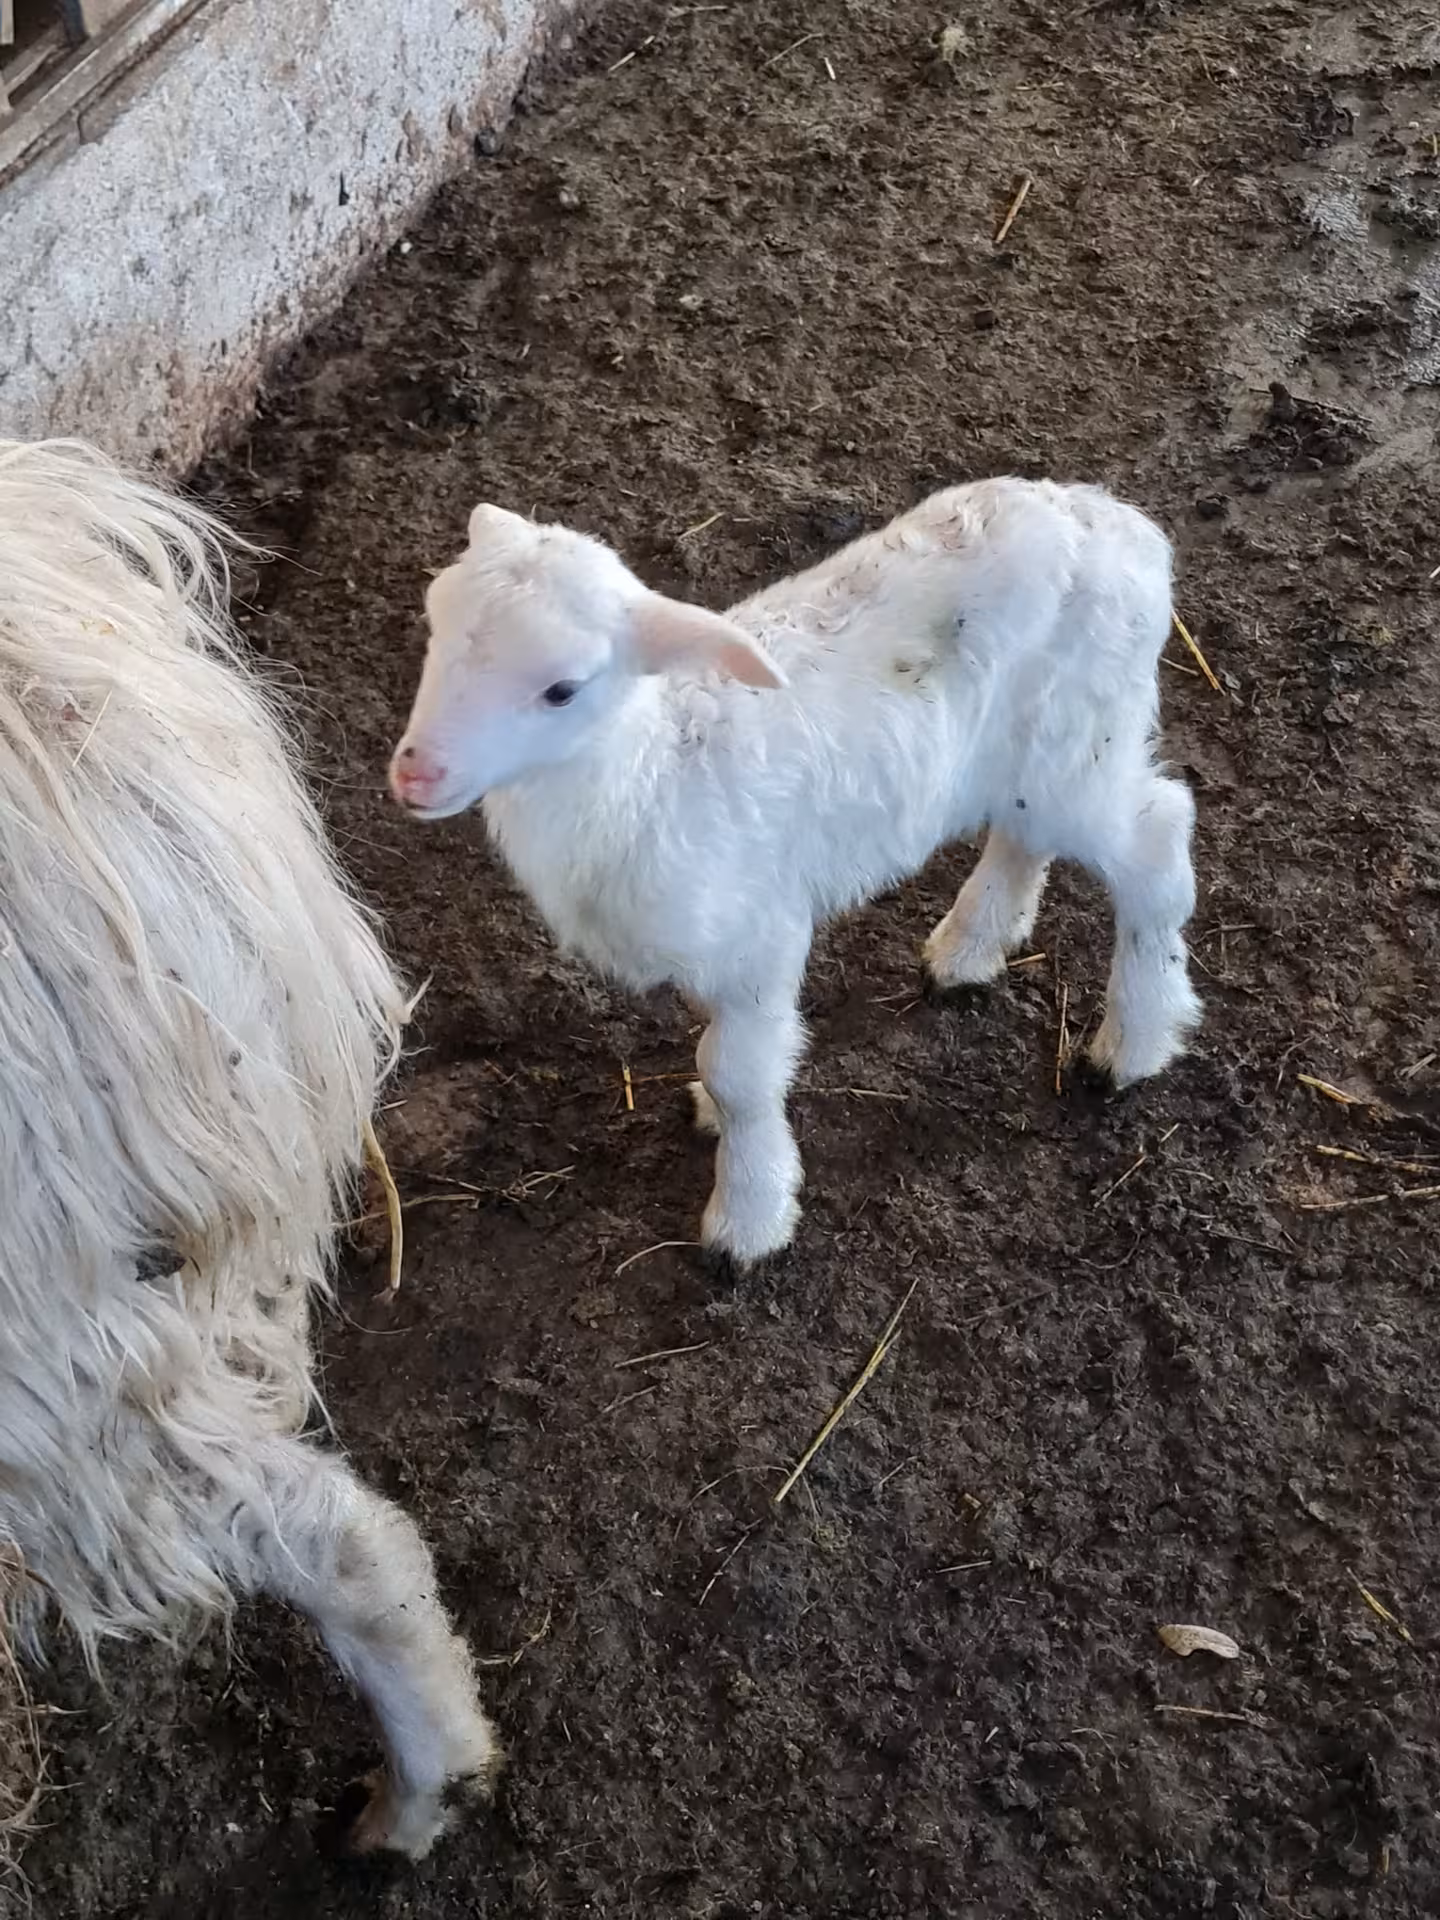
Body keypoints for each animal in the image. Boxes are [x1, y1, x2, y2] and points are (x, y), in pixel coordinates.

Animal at [389, 479, 1201, 1267]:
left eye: (562, 689)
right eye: (432, 625)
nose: (416, 774)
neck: (650, 772)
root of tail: (1126, 528)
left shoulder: (761, 938)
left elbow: (738, 1075)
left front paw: (747, 1219)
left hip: (1082, 744)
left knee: (1158, 841)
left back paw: (1133, 1043)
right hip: (1032, 761)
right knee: (1024, 837)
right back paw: (971, 949)